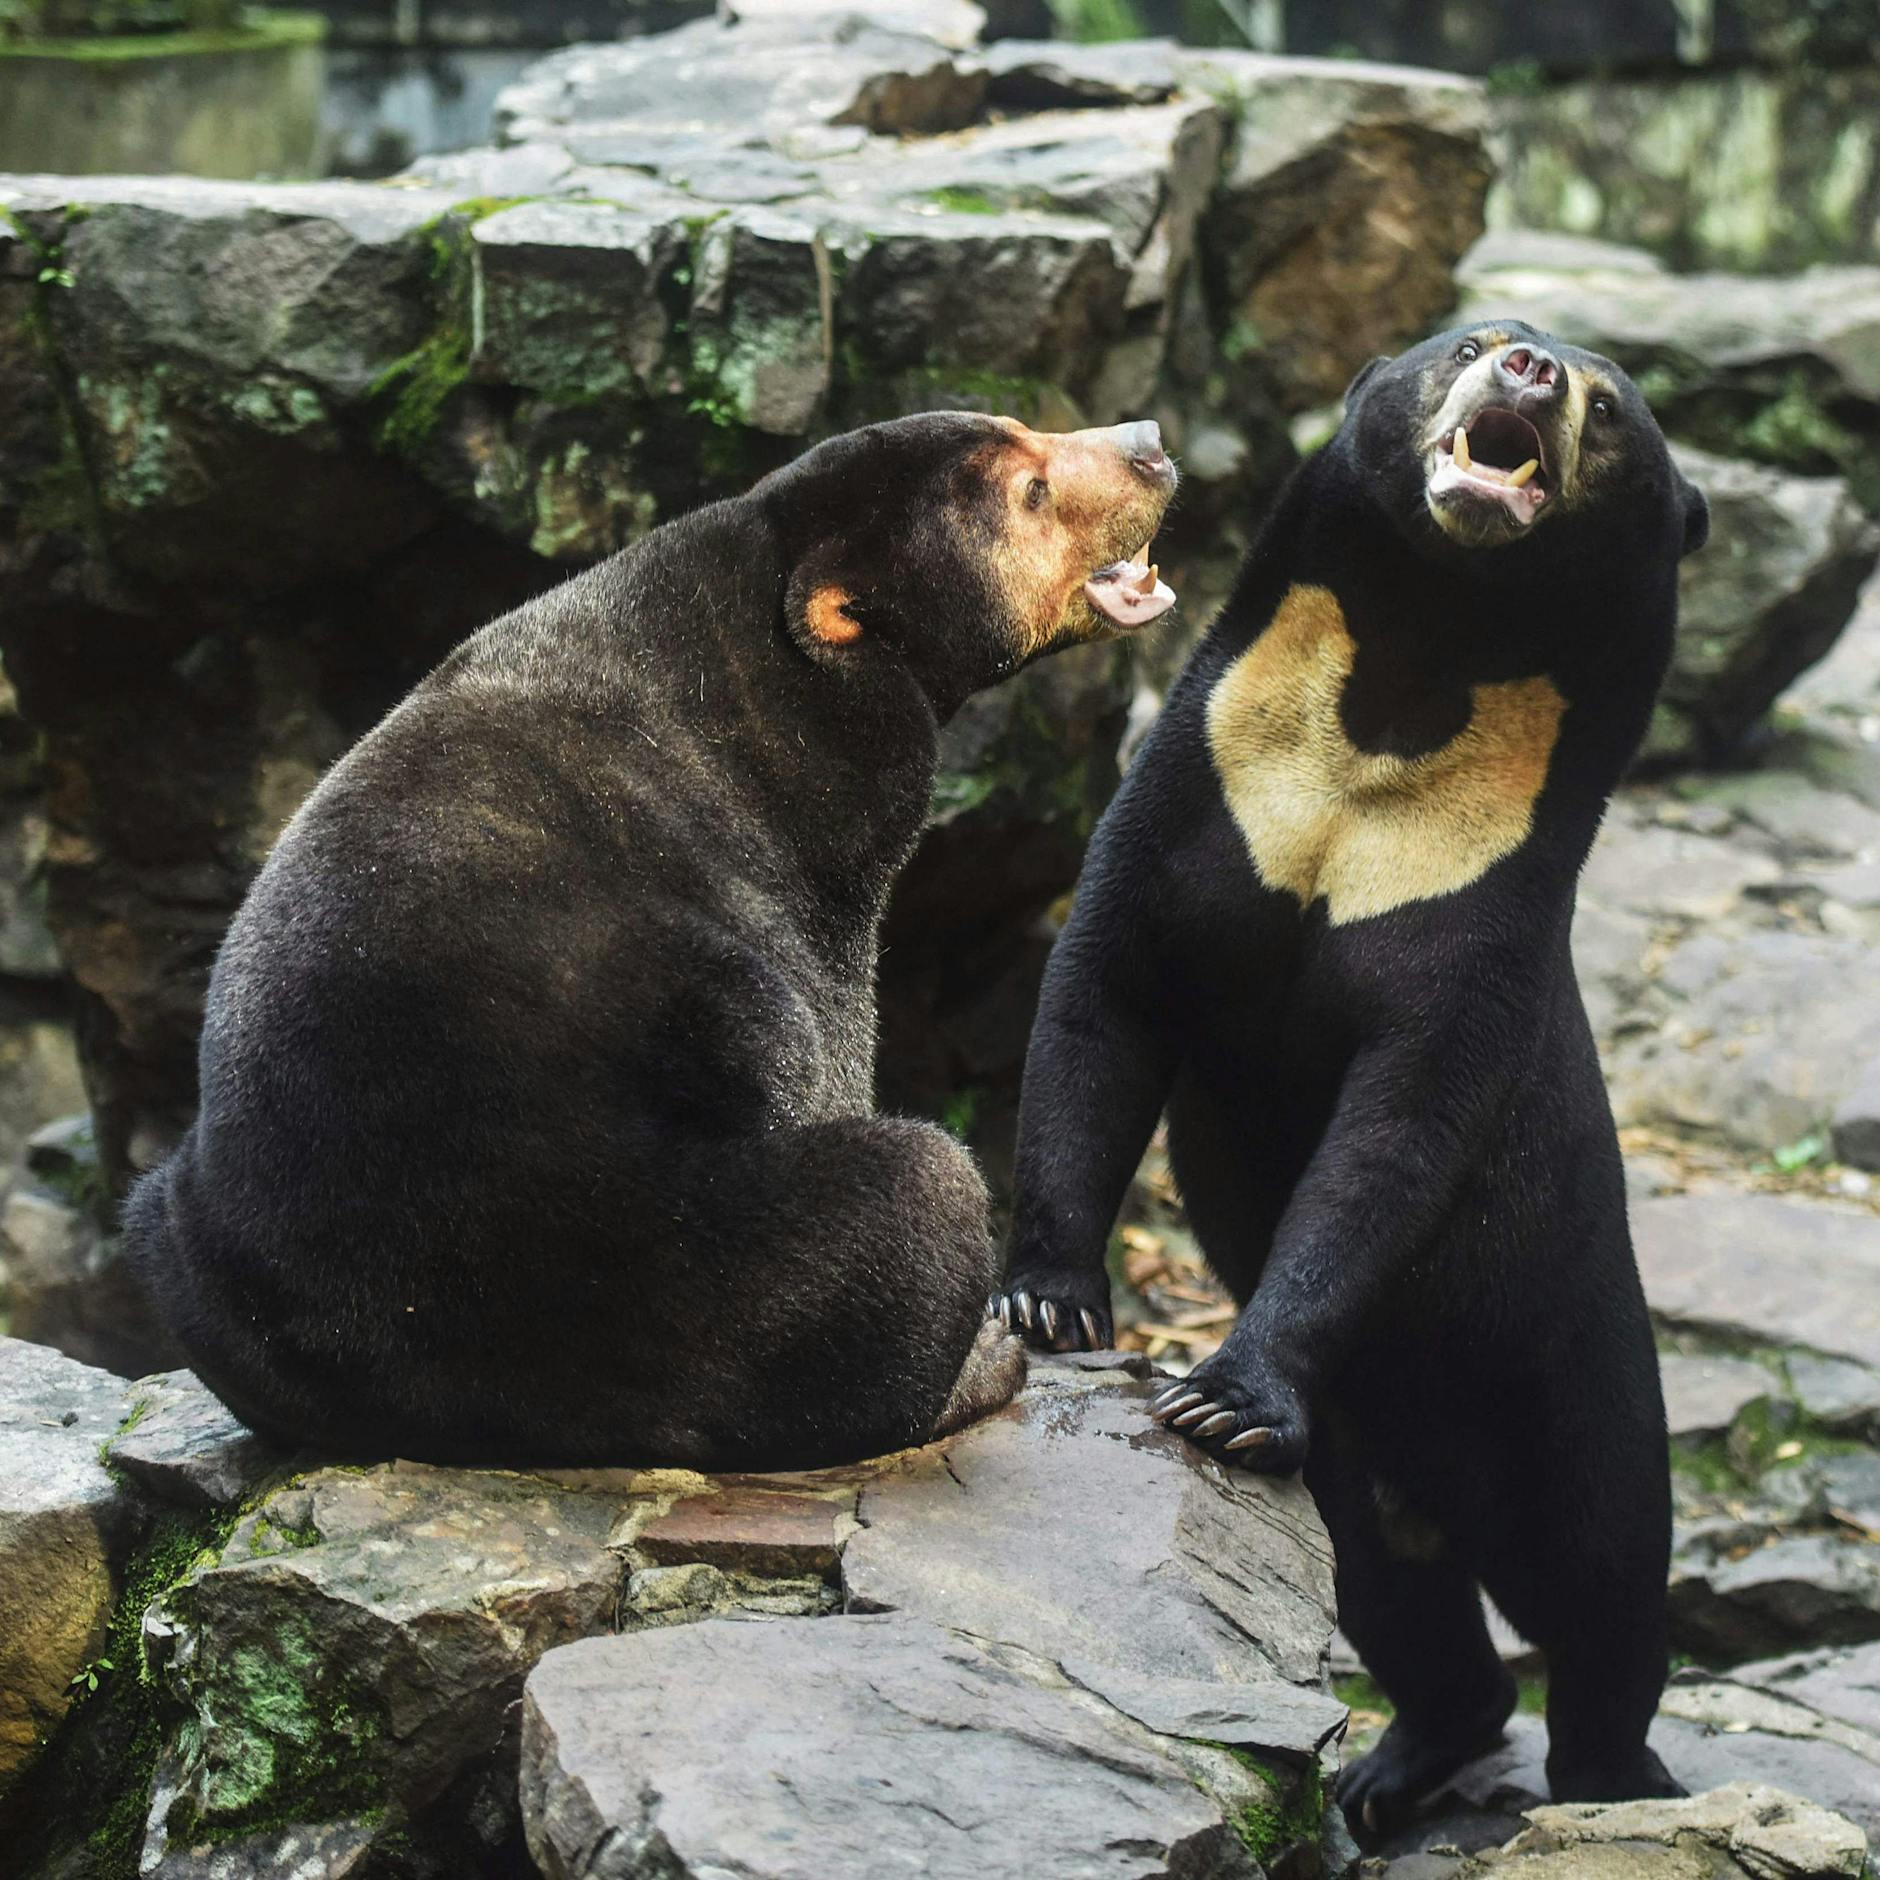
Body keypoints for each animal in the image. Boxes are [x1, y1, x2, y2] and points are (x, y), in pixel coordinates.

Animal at [125, 411, 1179, 1472]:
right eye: (1030, 492)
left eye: (1028, 432)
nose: (1149, 442)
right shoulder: (810, 872)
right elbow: (817, 1048)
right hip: (661, 1264)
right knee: (912, 1202)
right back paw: (981, 1364)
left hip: (182, 1237)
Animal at [993, 324, 1709, 1830]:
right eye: (1473, 342)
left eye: (1611, 408)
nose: (1532, 368)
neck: (1414, 671)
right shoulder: (1196, 793)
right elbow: (1098, 1002)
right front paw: (1048, 1302)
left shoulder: (1480, 899)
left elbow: (1395, 1137)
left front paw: (1218, 1396)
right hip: (1367, 1464)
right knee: (1395, 1591)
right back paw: (1395, 1768)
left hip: (1577, 1371)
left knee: (1605, 1582)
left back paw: (1611, 1782)